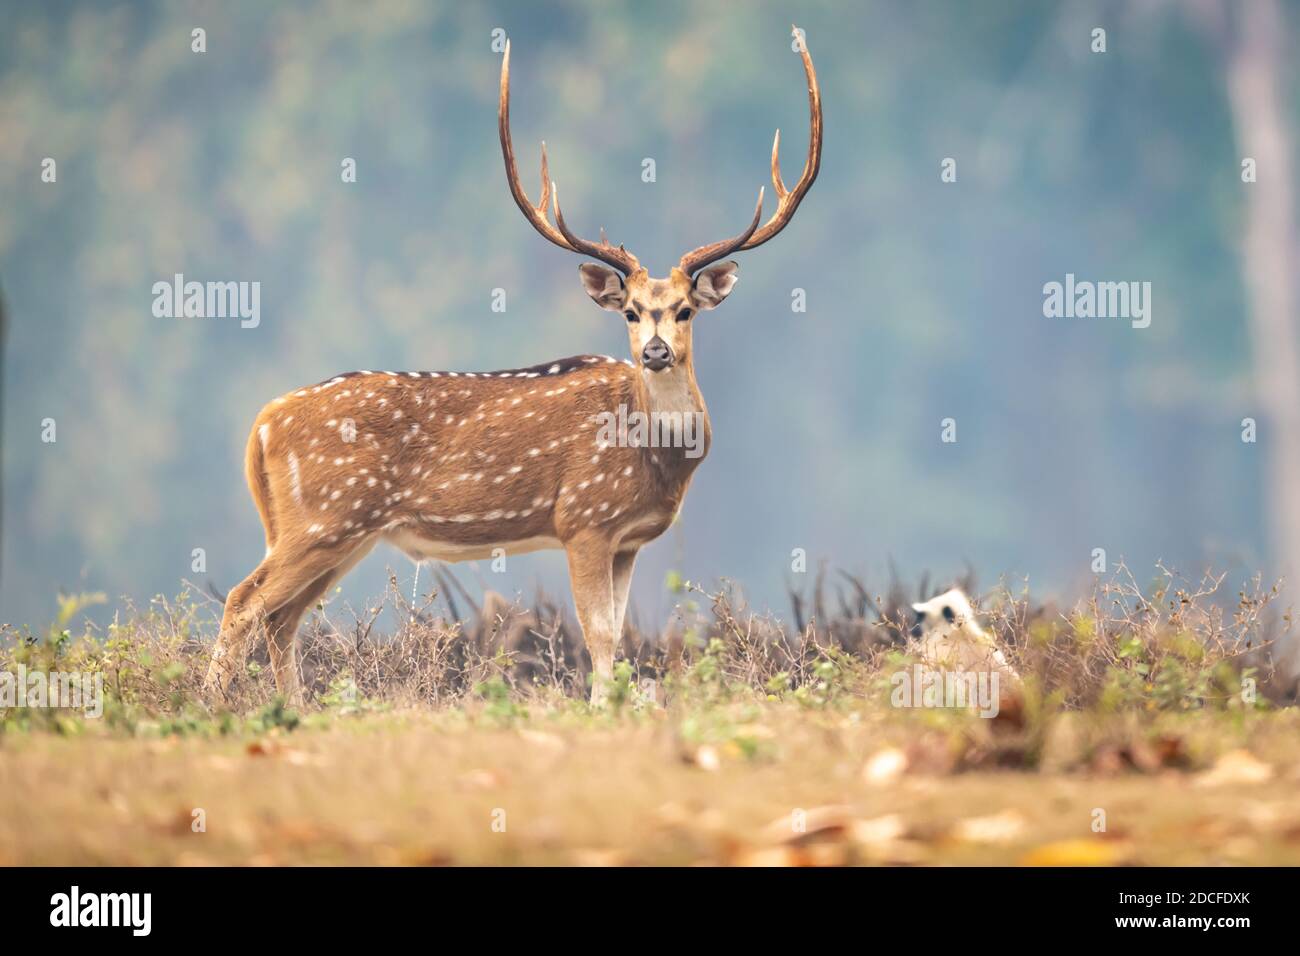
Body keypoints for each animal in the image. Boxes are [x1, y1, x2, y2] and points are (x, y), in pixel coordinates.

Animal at [202, 26, 822, 706]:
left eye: (685, 310)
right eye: (632, 312)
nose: (655, 351)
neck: (657, 458)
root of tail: (263, 423)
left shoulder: (627, 540)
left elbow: (620, 634)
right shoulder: (583, 518)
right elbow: (599, 635)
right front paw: (600, 709)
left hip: (334, 531)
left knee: (281, 617)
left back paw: (293, 706)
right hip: (323, 517)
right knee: (243, 601)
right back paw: (206, 701)